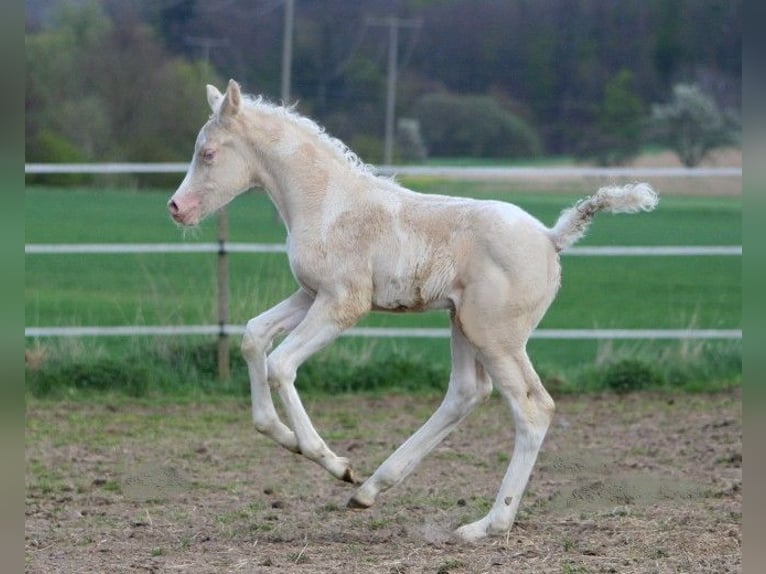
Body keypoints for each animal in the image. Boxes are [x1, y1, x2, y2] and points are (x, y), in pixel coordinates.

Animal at [170, 81, 660, 544]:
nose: (176, 208)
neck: (327, 202)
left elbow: (281, 364)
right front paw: (283, 435)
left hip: (495, 336)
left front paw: (332, 461)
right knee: (466, 393)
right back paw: (371, 489)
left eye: (208, 153)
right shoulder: (310, 294)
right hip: (461, 323)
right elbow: (254, 337)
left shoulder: (343, 302)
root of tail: (550, 237)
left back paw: (486, 525)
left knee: (532, 408)